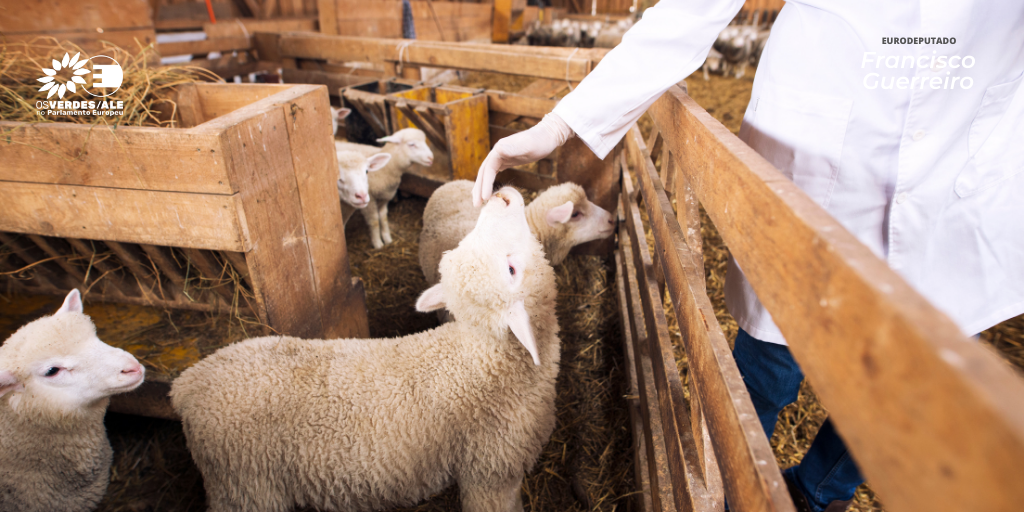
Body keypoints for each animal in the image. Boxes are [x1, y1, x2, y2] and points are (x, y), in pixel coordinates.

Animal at [173, 187, 565, 512]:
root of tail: (188, 384)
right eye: (511, 269)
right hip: (245, 487)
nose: (501, 196)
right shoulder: (491, 471)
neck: (484, 356)